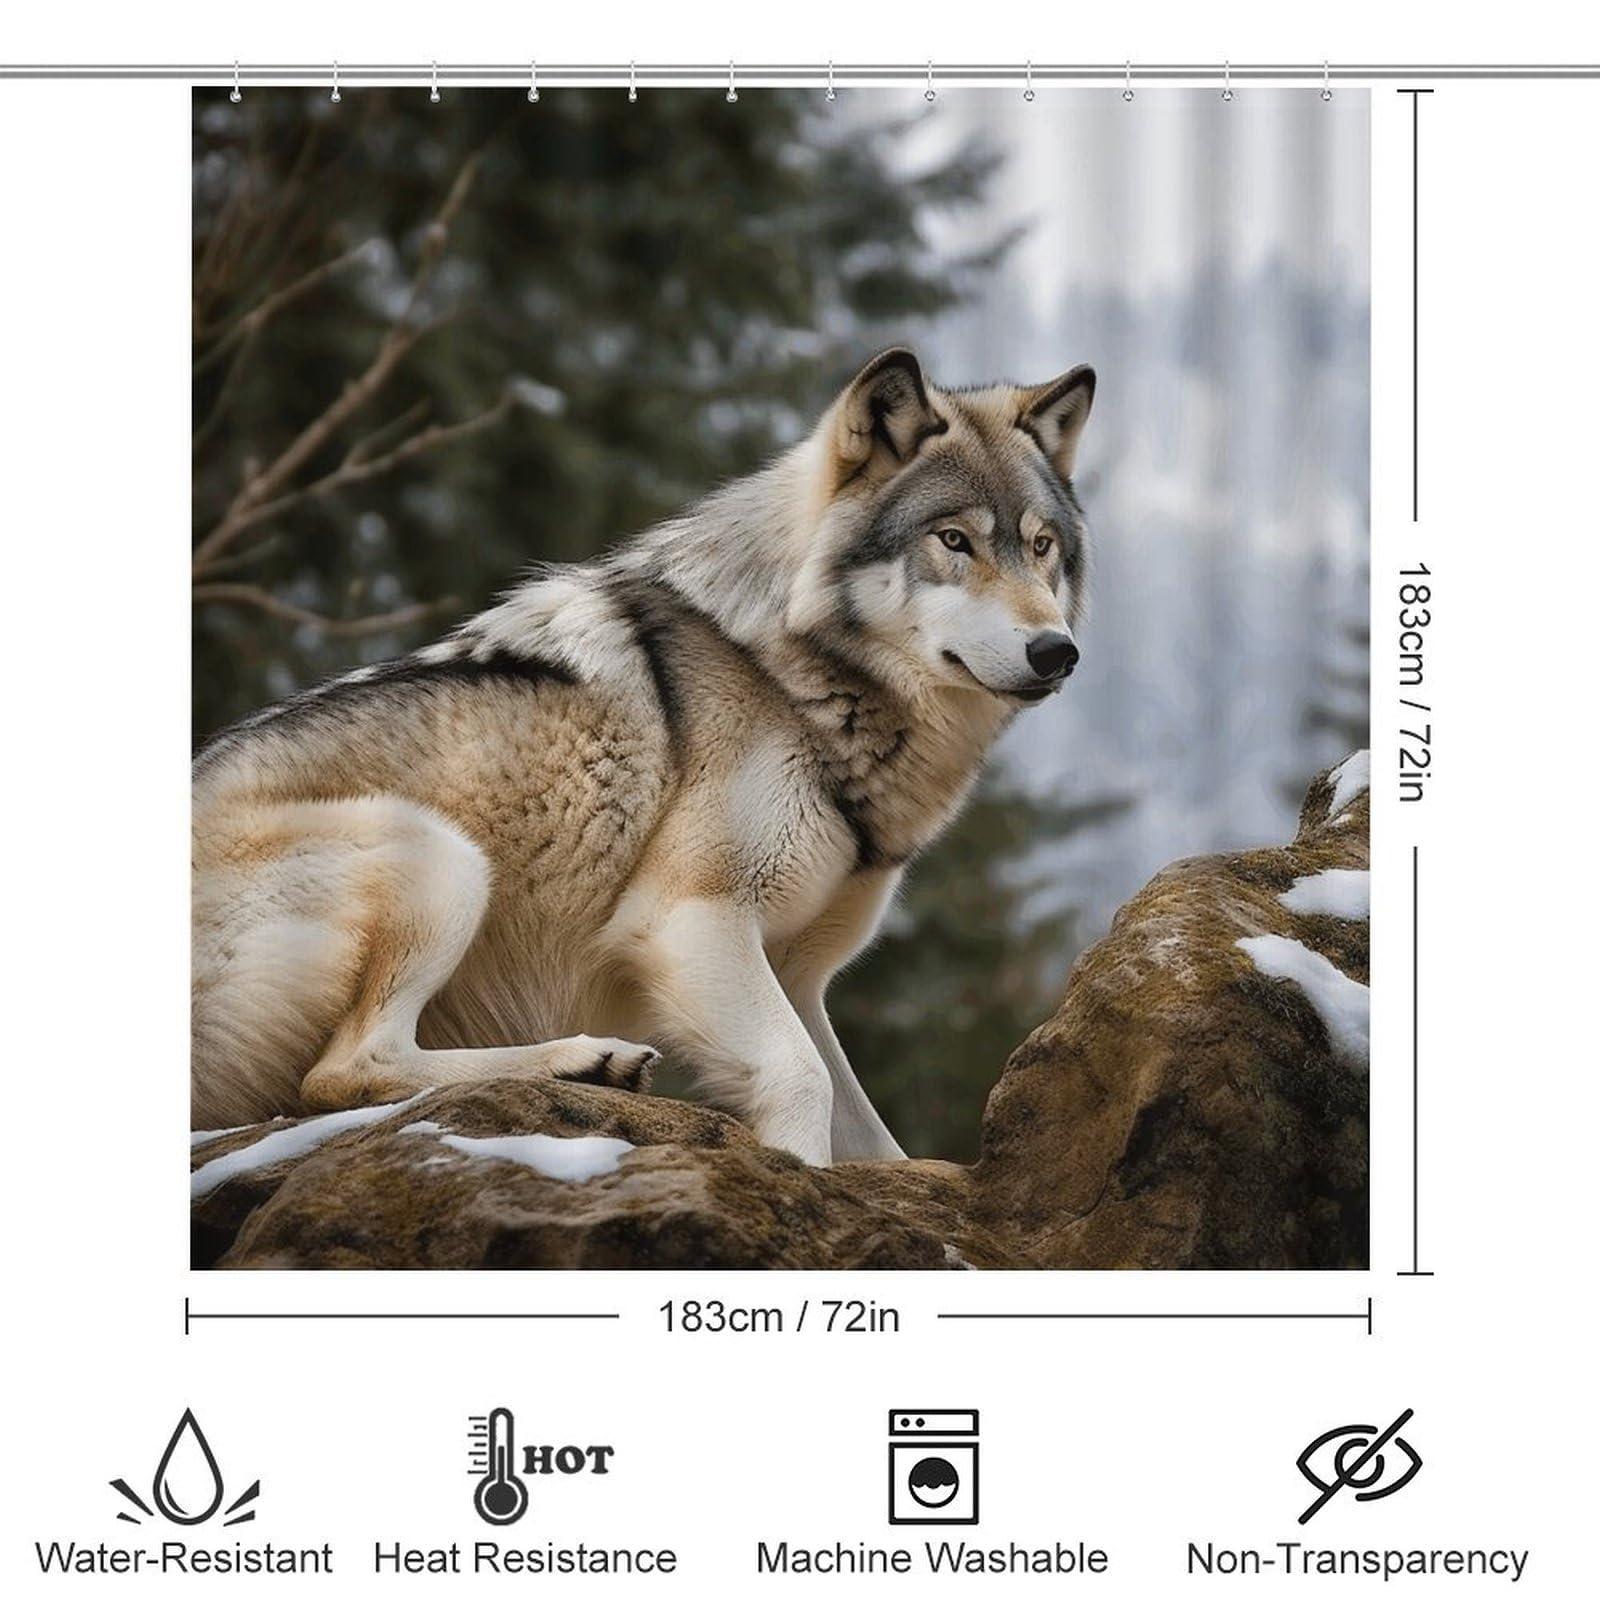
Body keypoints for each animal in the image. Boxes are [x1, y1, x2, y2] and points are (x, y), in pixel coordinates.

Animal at [192, 349, 1095, 1165]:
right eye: (954, 540)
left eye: (1040, 546)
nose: (1057, 653)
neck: (787, 675)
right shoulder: (687, 921)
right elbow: (804, 1080)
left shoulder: (797, 978)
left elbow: (880, 1143)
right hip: (442, 854)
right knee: (343, 1072)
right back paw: (577, 1060)